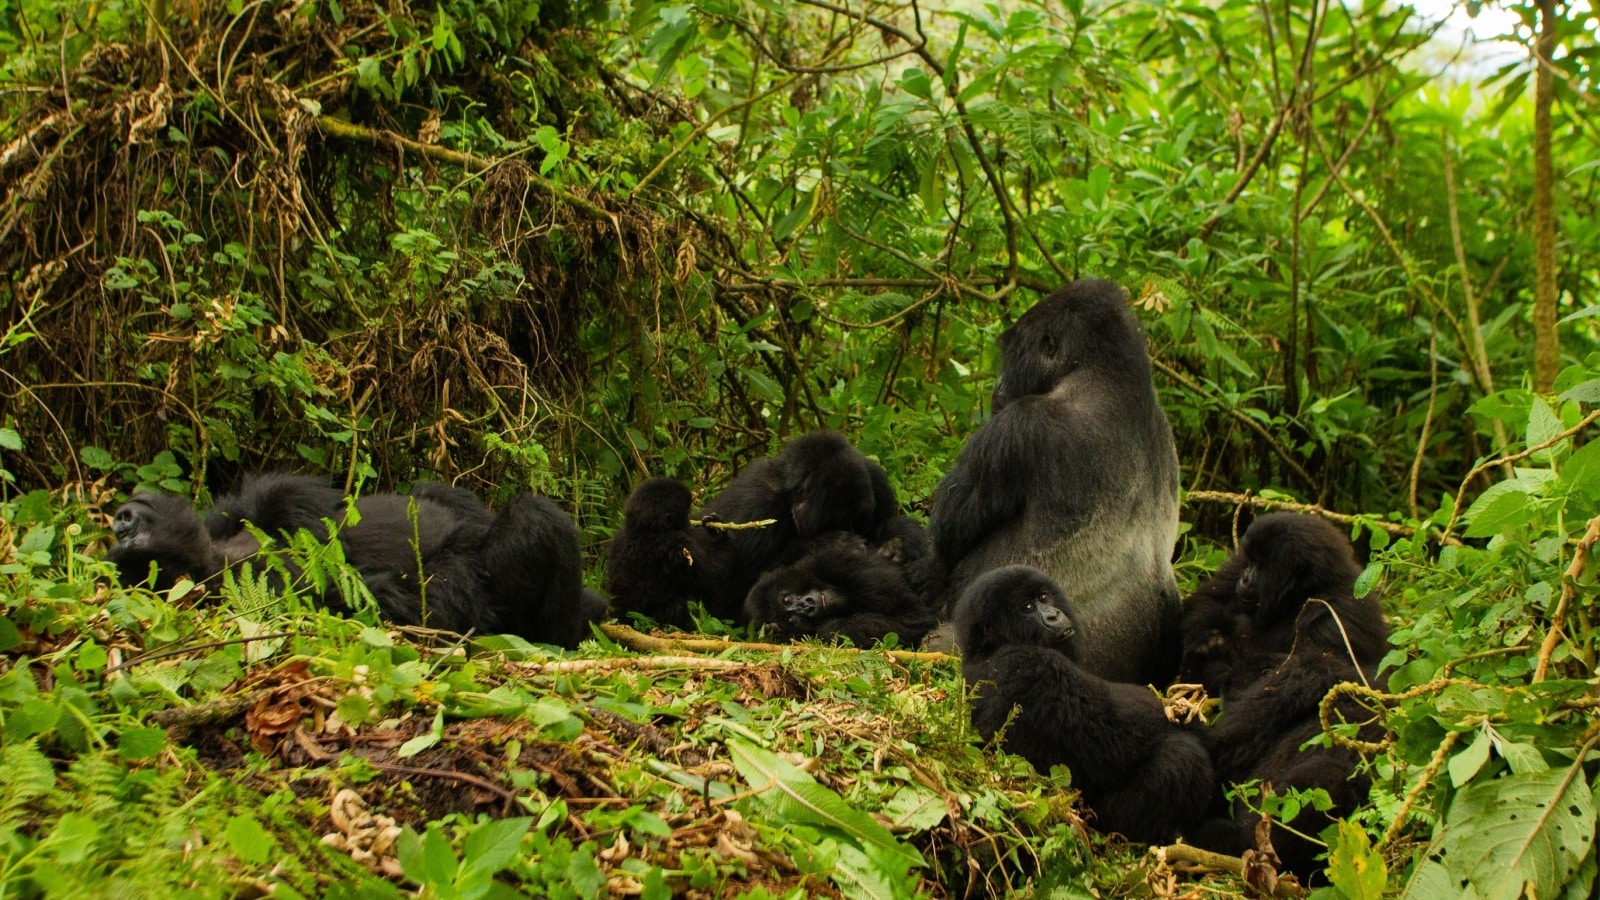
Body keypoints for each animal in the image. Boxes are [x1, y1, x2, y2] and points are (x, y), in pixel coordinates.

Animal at [106, 470, 601, 643]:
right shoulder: (278, 583)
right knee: (534, 520)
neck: (221, 555)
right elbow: (421, 601)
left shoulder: (255, 503)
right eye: (131, 548)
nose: (122, 519)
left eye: (131, 531)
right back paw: (569, 630)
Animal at [947, 563, 1209, 845]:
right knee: (1180, 757)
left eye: (1043, 598)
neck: (989, 648)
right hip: (1103, 822)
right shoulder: (1034, 666)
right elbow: (1118, 739)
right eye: (1027, 608)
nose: (1054, 615)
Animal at [1184, 512, 1395, 877]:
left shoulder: (1336, 617)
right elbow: (1205, 601)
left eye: (1261, 568)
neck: (1299, 596)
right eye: (1251, 562)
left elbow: (1280, 677)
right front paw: (1209, 640)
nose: (1247, 576)